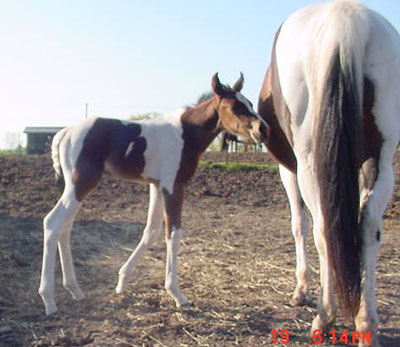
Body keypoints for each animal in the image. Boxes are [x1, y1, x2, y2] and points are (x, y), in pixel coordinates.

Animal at [39, 72, 268, 316]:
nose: (263, 129)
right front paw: (177, 293)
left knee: (65, 228)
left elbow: (151, 230)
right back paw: (49, 300)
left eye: (250, 103)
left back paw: (75, 290)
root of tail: (64, 132)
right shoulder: (173, 186)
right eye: (234, 107)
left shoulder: (156, 186)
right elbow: (173, 233)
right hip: (81, 183)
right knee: (52, 223)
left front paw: (122, 281)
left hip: (74, 187)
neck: (185, 134)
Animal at [258, 1, 398, 346]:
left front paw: (301, 289)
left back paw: (325, 316)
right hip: (382, 158)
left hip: (309, 163)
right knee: (368, 228)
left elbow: (299, 224)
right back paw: (366, 322)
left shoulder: (289, 169)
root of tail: (344, 21)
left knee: (323, 228)